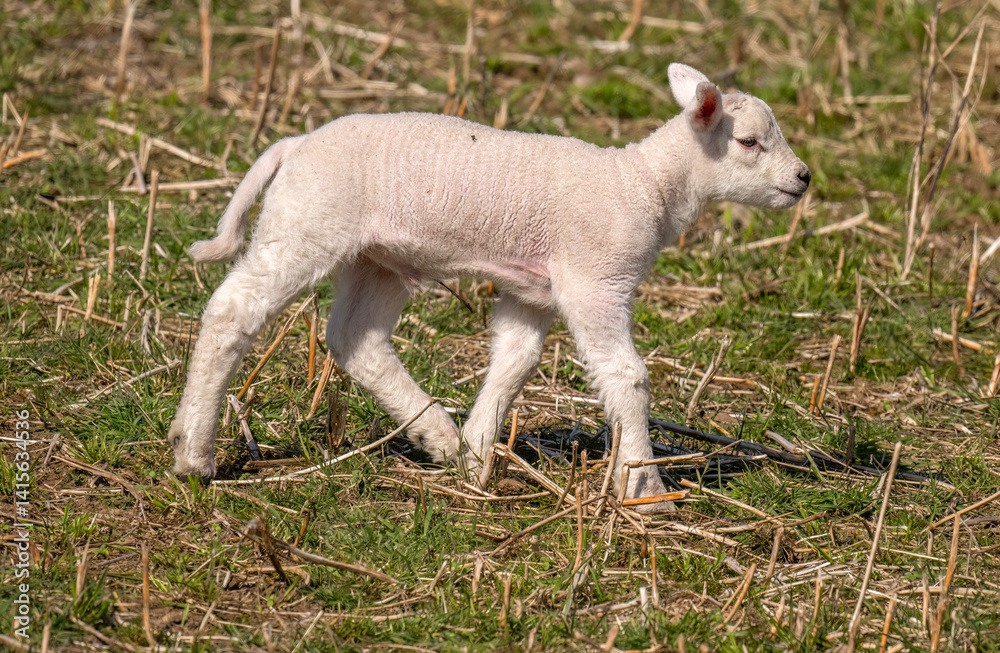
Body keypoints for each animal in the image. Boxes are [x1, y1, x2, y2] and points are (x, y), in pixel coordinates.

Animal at [169, 63, 810, 510]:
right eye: (749, 142)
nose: (803, 178)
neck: (644, 183)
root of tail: (293, 145)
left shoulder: (534, 290)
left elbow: (515, 361)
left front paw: (477, 457)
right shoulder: (596, 280)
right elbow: (627, 377)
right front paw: (646, 487)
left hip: (376, 257)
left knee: (356, 338)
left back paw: (439, 437)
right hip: (308, 224)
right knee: (233, 310)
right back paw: (193, 452)